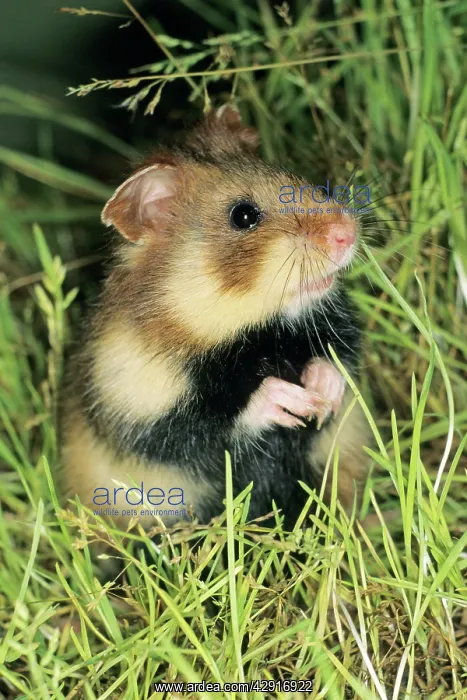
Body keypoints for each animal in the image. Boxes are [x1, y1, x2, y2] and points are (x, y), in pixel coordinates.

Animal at [59, 106, 371, 533]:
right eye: (243, 215)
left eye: (289, 174)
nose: (347, 233)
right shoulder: (139, 414)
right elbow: (207, 427)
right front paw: (294, 401)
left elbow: (338, 357)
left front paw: (322, 394)